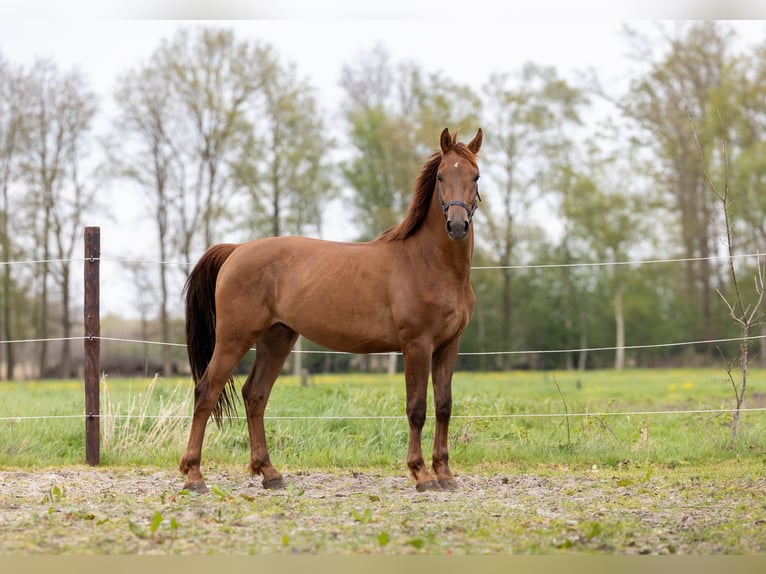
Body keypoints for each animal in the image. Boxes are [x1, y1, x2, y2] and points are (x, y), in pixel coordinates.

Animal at [178, 127, 484, 496]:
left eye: (475, 176)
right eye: (441, 176)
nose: (457, 226)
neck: (428, 263)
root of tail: (237, 250)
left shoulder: (449, 345)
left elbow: (444, 406)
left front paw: (445, 474)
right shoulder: (417, 345)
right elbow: (417, 408)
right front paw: (421, 474)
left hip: (277, 339)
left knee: (255, 395)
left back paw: (269, 472)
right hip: (234, 339)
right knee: (206, 391)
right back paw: (194, 476)